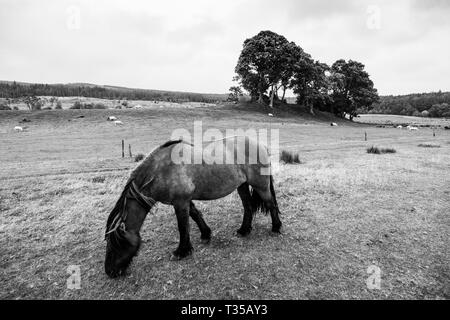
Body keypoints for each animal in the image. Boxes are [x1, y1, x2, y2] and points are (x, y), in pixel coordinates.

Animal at [105, 137, 282, 278]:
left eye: (116, 243)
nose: (110, 271)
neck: (161, 169)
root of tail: (260, 145)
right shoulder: (184, 201)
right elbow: (196, 215)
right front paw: (206, 234)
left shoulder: (180, 202)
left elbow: (183, 226)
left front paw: (181, 251)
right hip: (242, 185)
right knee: (248, 207)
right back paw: (244, 230)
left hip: (261, 186)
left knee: (271, 204)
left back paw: (276, 228)